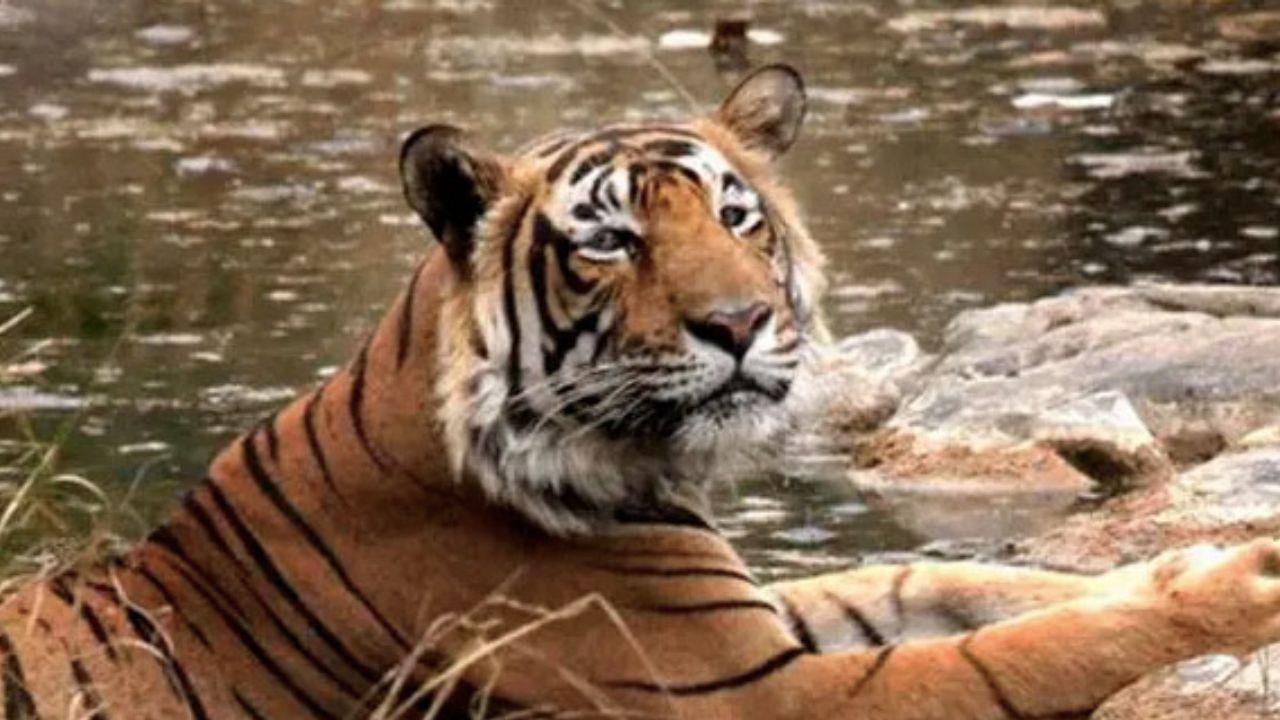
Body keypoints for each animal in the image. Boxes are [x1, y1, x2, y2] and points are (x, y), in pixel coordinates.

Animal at [2, 63, 1279, 720]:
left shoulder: (752, 618)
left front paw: (1193, 558)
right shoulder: (749, 697)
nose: (740, 323)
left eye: (736, 216)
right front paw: (1235, 591)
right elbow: (1016, 655)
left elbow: (946, 579)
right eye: (610, 241)